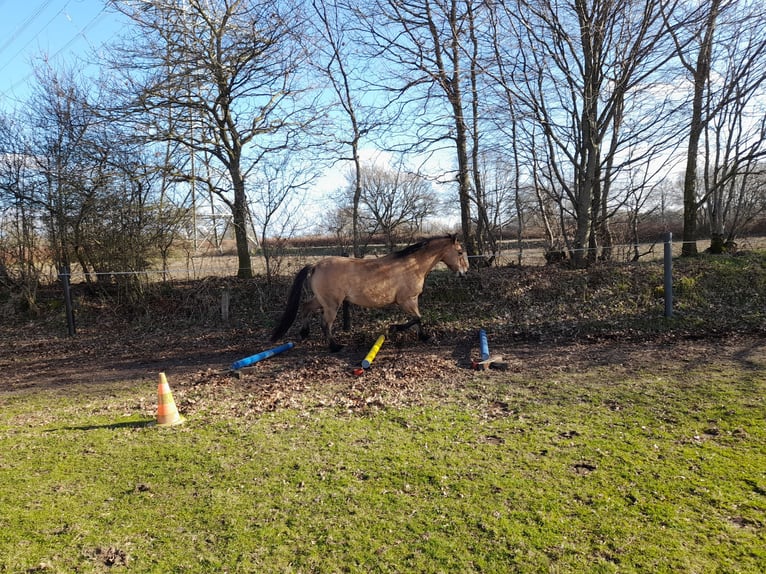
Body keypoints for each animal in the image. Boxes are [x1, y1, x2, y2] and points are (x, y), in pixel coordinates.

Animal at [271, 234, 469, 352]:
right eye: (460, 252)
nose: (464, 272)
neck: (412, 266)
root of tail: (316, 265)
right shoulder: (406, 301)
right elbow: (417, 318)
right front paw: (394, 328)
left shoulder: (412, 300)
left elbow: (418, 319)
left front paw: (424, 336)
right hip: (332, 304)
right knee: (325, 324)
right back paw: (335, 347)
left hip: (322, 301)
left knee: (305, 307)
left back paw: (304, 333)